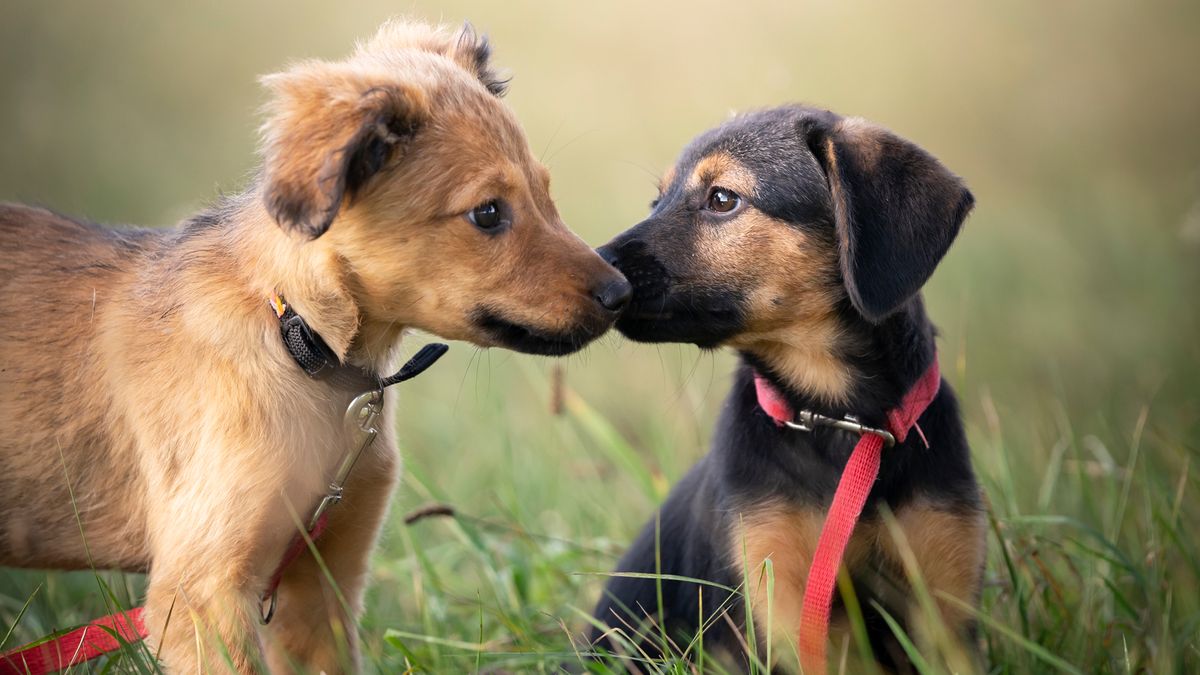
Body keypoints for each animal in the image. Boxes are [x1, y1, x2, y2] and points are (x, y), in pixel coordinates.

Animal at [0, 18, 628, 667]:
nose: (623, 292)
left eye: (546, 193)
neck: (300, 341)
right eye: (487, 213)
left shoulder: (320, 586)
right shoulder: (202, 595)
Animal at [590, 105, 984, 667]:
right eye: (657, 200)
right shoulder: (780, 604)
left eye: (722, 199)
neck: (840, 420)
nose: (595, 271)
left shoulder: (945, 608)